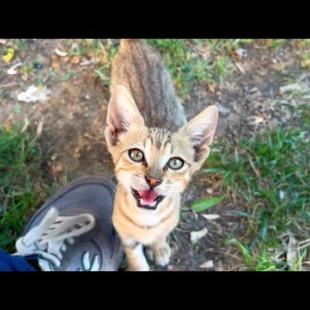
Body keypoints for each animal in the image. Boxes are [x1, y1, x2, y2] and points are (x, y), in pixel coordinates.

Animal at [104, 39, 218, 272]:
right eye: (136, 155)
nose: (153, 180)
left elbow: (160, 235)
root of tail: (134, 43)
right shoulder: (126, 236)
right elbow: (135, 256)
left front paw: (159, 247)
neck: (147, 221)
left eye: (175, 163)